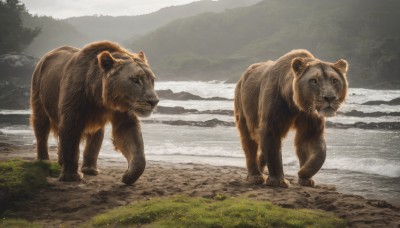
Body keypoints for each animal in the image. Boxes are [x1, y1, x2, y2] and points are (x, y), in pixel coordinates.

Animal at [30, 40, 159, 184]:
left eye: (152, 79)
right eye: (135, 79)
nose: (153, 101)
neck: (98, 96)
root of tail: (46, 56)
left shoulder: (122, 108)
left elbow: (128, 133)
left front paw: (128, 175)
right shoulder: (76, 100)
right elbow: (70, 131)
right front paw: (71, 176)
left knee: (96, 134)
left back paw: (89, 168)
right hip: (39, 90)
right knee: (41, 124)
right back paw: (44, 160)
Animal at [233, 49, 348, 187]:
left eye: (334, 80)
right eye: (313, 80)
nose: (329, 98)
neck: (295, 104)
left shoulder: (309, 116)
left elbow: (315, 147)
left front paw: (304, 175)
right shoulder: (274, 113)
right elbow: (272, 143)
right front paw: (278, 180)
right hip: (243, 108)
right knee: (249, 141)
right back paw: (255, 176)